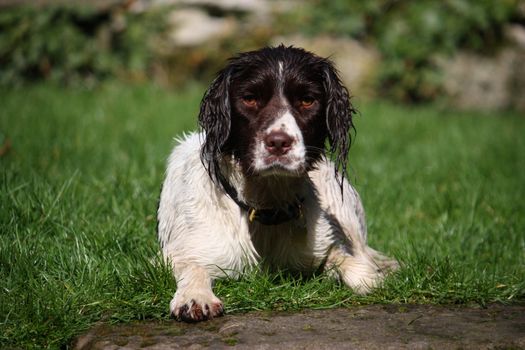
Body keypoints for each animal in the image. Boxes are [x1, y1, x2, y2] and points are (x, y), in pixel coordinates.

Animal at [156, 45, 398, 322]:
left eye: (307, 100)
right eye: (250, 98)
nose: (279, 142)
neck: (265, 208)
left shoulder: (323, 244)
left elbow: (353, 267)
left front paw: (374, 277)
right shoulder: (177, 252)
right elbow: (193, 265)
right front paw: (195, 297)